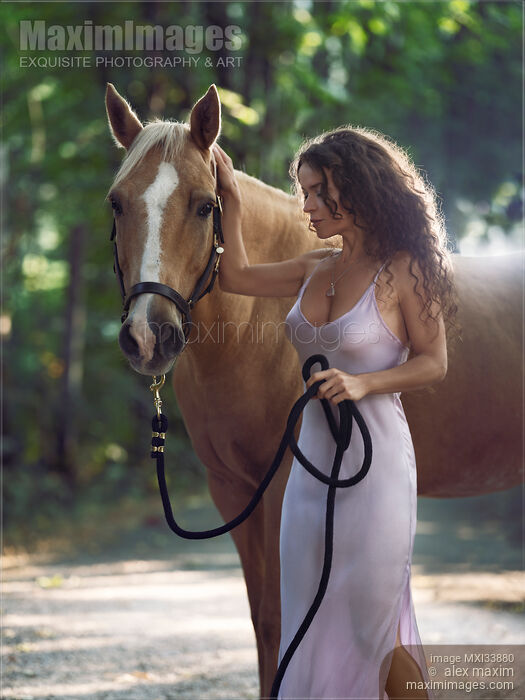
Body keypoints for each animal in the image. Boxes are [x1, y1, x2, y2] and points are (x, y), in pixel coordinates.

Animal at [104, 82, 520, 696]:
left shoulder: (279, 488)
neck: (253, 324)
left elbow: (284, 616)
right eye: (117, 203)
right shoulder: (234, 490)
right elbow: (264, 622)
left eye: (204, 205)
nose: (148, 335)